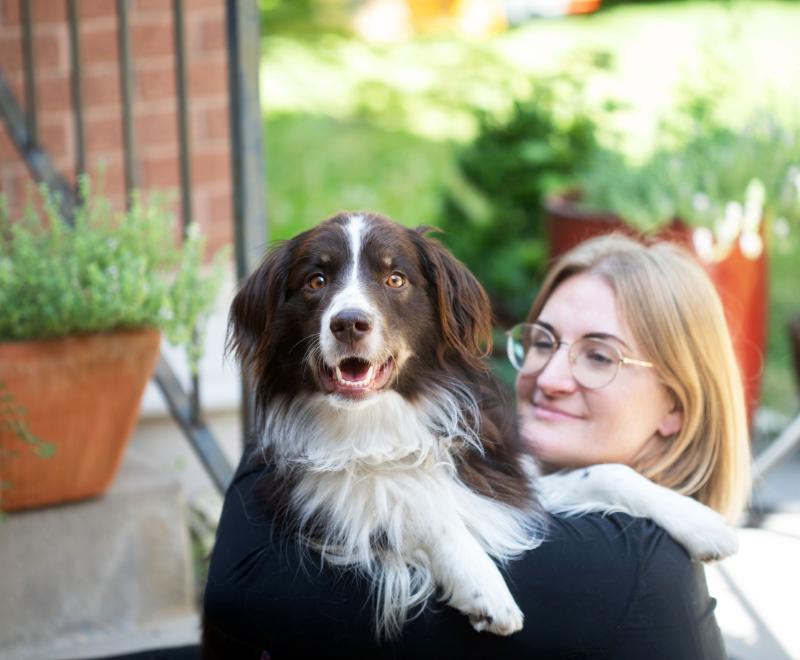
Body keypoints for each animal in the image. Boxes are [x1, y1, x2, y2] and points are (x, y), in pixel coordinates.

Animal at [227, 213, 736, 640]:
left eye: (395, 278)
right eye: (316, 280)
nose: (349, 323)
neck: (380, 418)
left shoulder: (506, 484)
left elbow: (607, 471)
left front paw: (700, 522)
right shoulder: (311, 496)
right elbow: (412, 501)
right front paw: (484, 586)